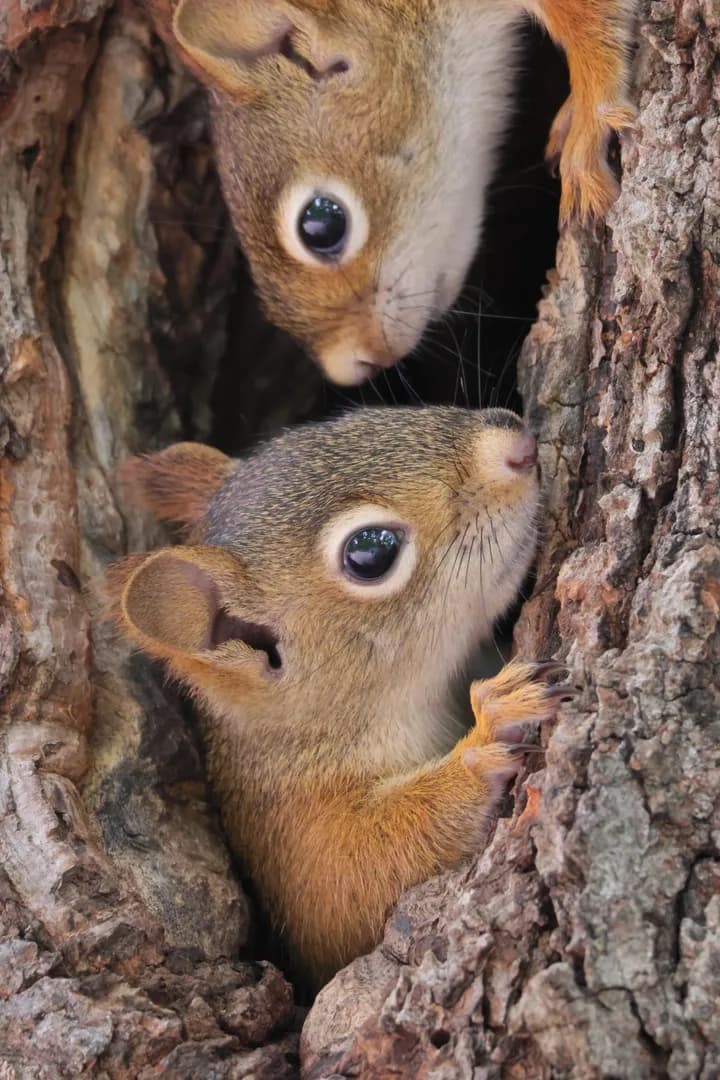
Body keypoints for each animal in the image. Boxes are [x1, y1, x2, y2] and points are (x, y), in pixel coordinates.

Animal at [107, 405, 574, 988]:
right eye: (369, 552)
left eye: (337, 422)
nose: (517, 446)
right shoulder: (298, 834)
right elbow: (351, 889)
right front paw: (487, 736)